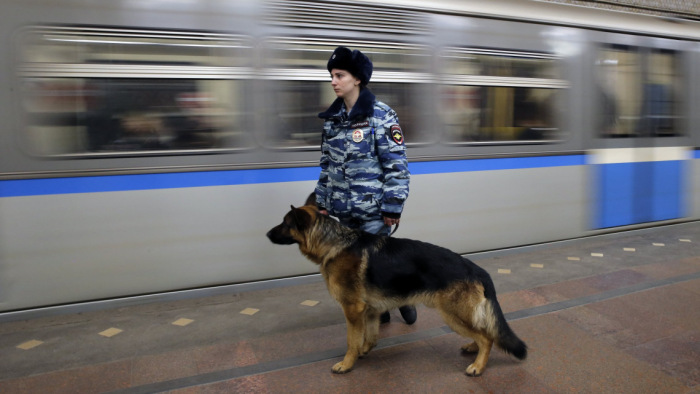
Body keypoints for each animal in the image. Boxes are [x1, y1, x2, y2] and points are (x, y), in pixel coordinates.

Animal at [266, 200, 524, 376]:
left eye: (285, 223)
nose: (266, 233)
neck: (335, 243)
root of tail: (477, 269)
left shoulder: (352, 309)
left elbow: (351, 340)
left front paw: (347, 364)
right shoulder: (369, 311)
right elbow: (369, 336)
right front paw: (364, 351)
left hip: (453, 315)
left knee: (487, 338)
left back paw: (478, 366)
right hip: (460, 315)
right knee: (483, 332)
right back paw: (472, 347)